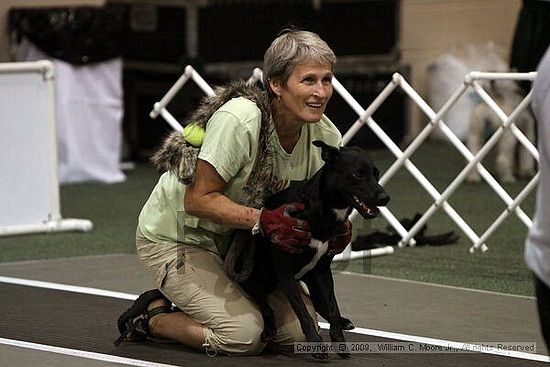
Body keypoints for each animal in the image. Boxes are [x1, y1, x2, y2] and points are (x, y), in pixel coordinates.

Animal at [236, 140, 388, 360]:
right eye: (357, 174)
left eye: (376, 174)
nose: (385, 198)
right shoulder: (286, 273)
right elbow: (303, 313)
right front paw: (316, 346)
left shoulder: (323, 272)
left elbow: (332, 308)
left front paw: (339, 341)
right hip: (255, 277)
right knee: (264, 303)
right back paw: (269, 329)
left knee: (322, 305)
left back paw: (344, 321)